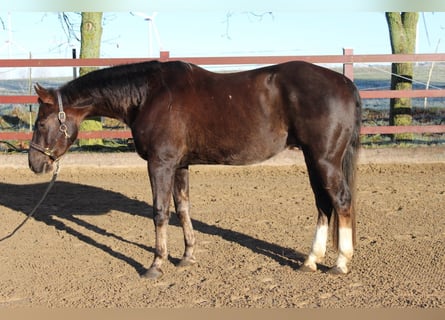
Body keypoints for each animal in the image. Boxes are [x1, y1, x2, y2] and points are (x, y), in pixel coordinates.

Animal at [28, 59, 360, 278]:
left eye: (41, 123)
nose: (35, 163)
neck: (149, 95)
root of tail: (344, 83)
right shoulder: (180, 165)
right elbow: (182, 209)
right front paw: (187, 256)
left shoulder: (160, 164)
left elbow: (160, 212)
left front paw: (156, 265)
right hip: (313, 158)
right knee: (323, 204)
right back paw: (310, 260)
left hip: (324, 159)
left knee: (341, 201)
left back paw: (341, 263)